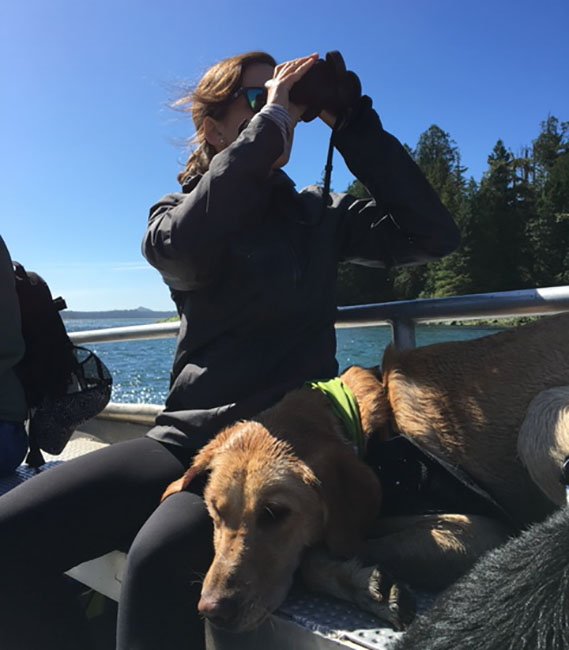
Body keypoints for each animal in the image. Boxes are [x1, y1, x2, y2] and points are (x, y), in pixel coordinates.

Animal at [162, 312, 569, 631]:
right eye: (214, 512)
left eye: (275, 513)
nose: (212, 611)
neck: (374, 428)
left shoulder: (481, 532)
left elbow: (320, 555)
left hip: (542, 414)